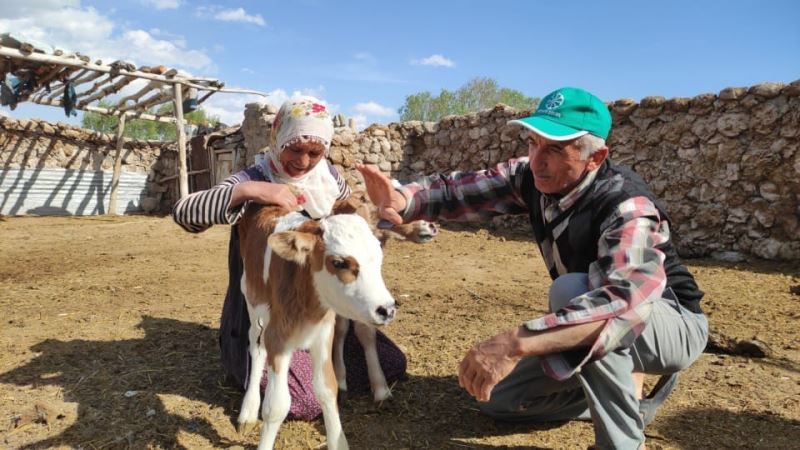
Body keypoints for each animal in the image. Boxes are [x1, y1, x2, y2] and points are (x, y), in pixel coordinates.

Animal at [238, 205, 400, 450]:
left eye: (379, 256)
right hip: (251, 296)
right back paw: (248, 410)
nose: (387, 309)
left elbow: (327, 388)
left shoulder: (323, 332)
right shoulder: (278, 336)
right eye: (339, 263)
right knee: (256, 347)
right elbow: (276, 405)